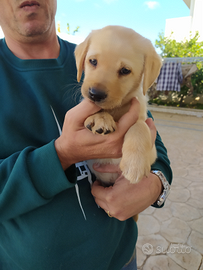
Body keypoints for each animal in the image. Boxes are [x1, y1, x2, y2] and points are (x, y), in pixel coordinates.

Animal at [74, 25, 162, 186]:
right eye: (93, 61)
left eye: (125, 70)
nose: (95, 94)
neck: (116, 109)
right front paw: (100, 118)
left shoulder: (152, 150)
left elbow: (140, 126)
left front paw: (135, 165)